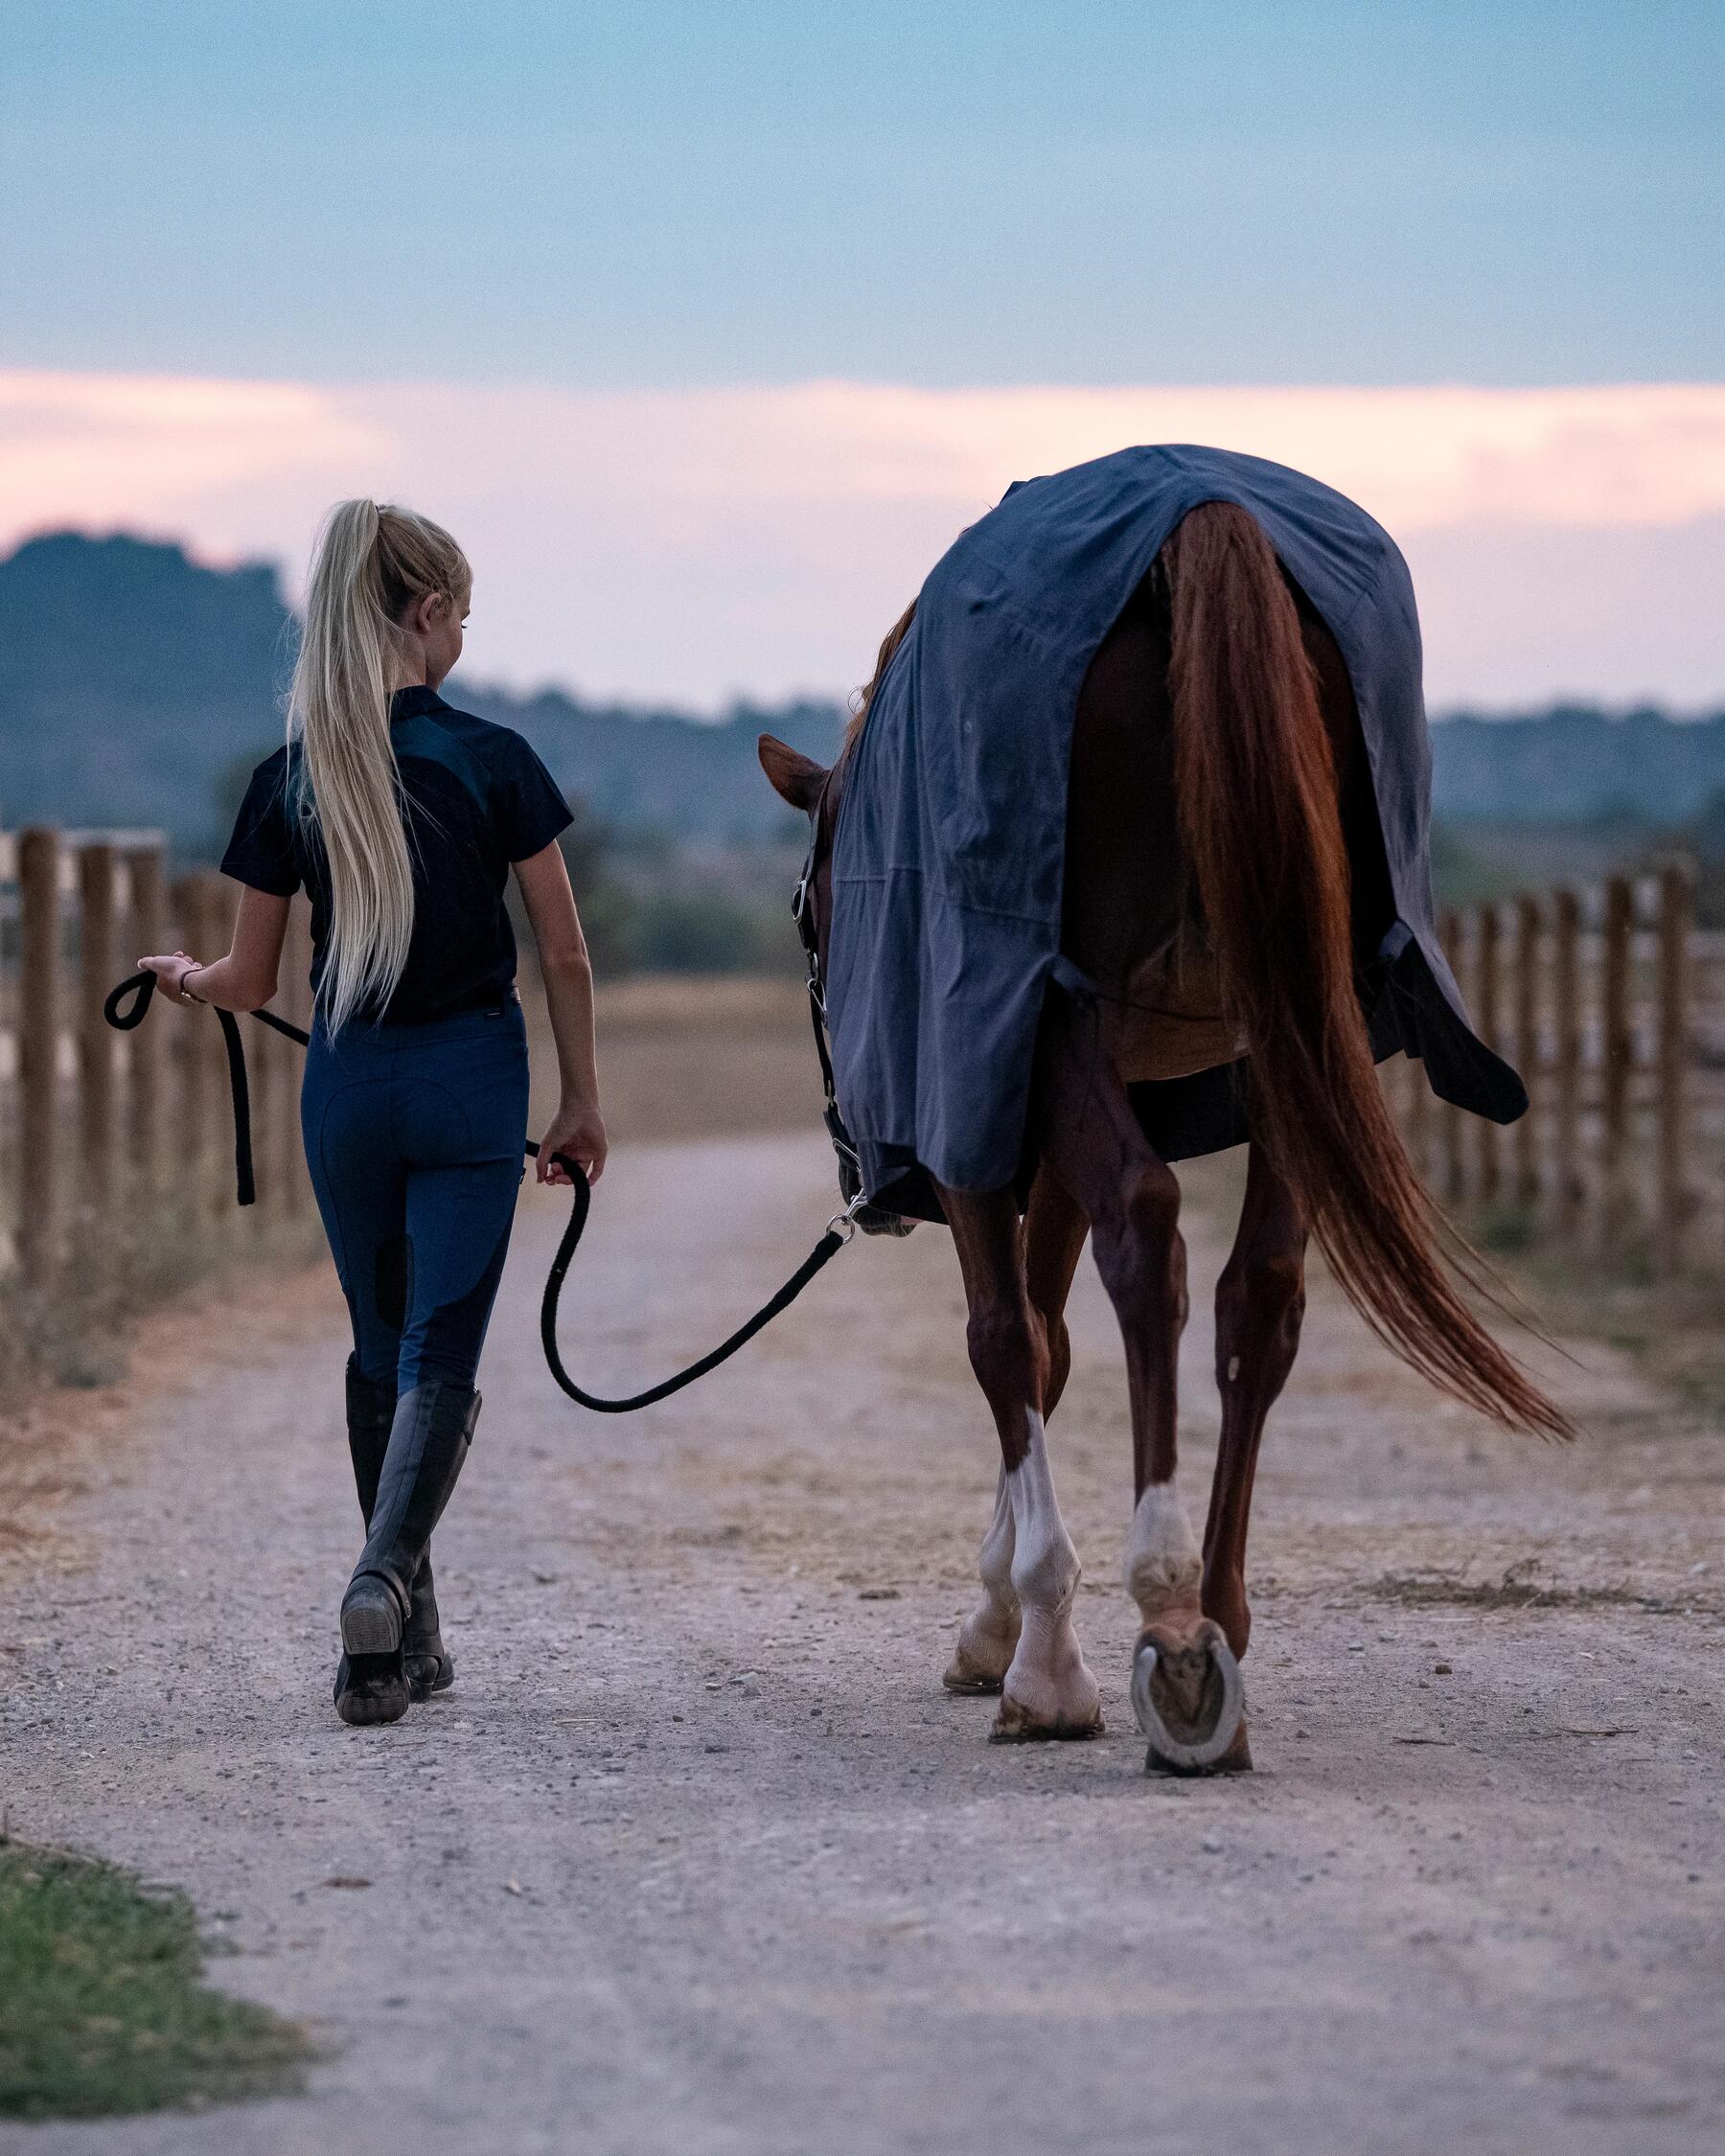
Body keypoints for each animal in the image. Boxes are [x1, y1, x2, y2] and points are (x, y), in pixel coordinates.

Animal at [763, 500, 1570, 1768]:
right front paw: (1004, 1613)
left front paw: (1035, 1644)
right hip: (1300, 1028)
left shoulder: (989, 1080)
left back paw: (1167, 1620)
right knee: (1261, 1294)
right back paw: (1216, 1616)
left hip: (1064, 1025)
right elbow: (1051, 1343)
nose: (868, 1181)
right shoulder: (1050, 1124)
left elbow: (1006, 1339)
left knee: (1147, 1239)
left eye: (805, 914)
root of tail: (1204, 519)